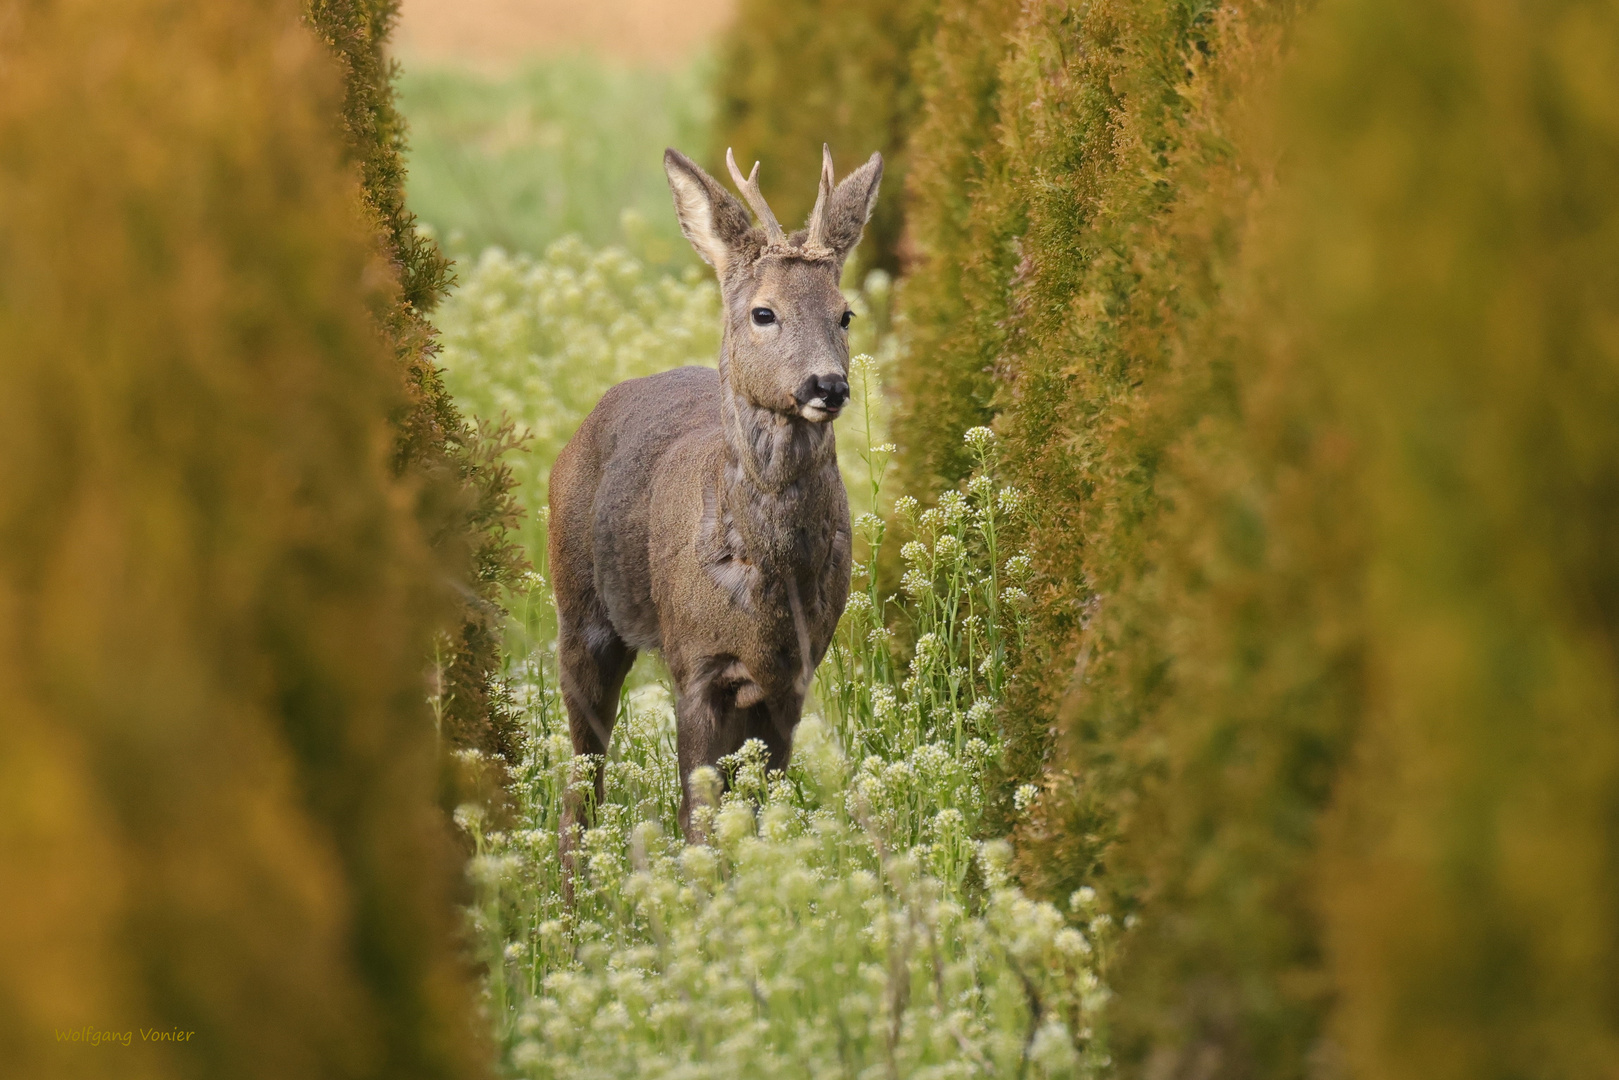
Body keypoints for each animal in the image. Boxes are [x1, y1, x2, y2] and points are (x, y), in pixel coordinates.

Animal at [547, 145, 880, 854]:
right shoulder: (697, 661)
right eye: (764, 312)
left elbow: (758, 803)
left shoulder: (794, 672)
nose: (828, 385)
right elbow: (696, 812)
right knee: (582, 773)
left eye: (845, 312)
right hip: (580, 607)